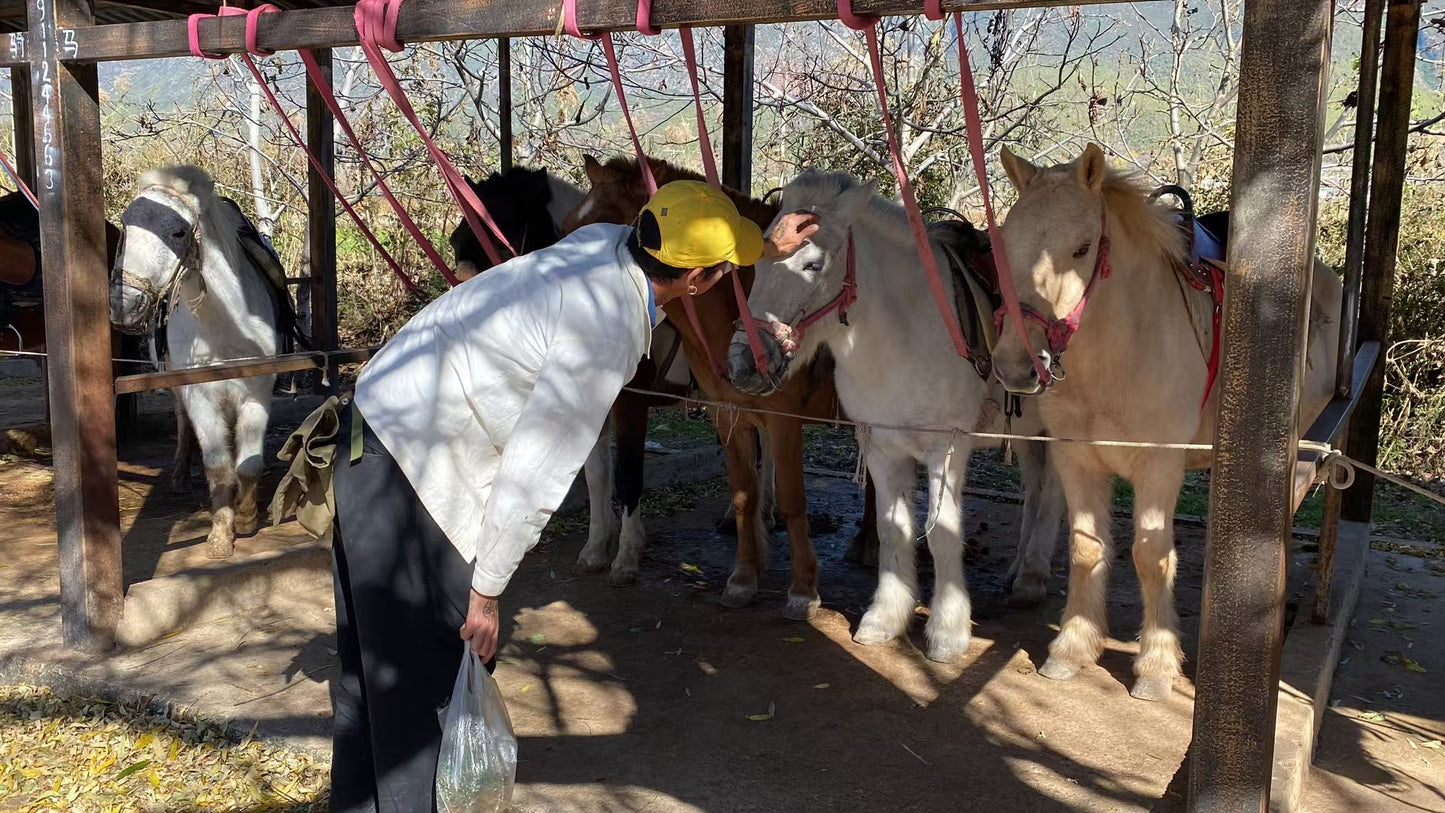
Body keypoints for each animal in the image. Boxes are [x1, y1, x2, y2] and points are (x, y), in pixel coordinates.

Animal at [110, 166, 299, 560]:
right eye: (125, 224)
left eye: (179, 232)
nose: (124, 305)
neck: (223, 323)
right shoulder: (200, 393)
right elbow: (218, 467)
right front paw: (220, 534)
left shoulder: (257, 390)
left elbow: (248, 464)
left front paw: (246, 517)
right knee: (184, 424)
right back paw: (181, 475)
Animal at [563, 155, 878, 620]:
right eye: (568, 224)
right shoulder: (726, 412)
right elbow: (743, 493)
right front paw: (744, 578)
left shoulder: (780, 419)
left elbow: (792, 499)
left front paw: (803, 590)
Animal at [728, 170, 1069, 661]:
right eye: (755, 266)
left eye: (812, 264)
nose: (743, 363)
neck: (902, 336)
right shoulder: (881, 446)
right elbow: (893, 528)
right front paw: (885, 618)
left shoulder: (946, 447)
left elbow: (942, 531)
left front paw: (947, 631)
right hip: (1027, 435)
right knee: (1036, 489)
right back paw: (1018, 572)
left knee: (1053, 493)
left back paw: (1033, 578)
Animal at [994, 141, 1340, 698]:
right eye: (1003, 247)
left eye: (1082, 249)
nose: (1015, 365)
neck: (1121, 354)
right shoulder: (1075, 460)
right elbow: (1086, 549)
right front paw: (1072, 648)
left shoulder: (1158, 470)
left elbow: (1150, 557)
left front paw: (1156, 664)